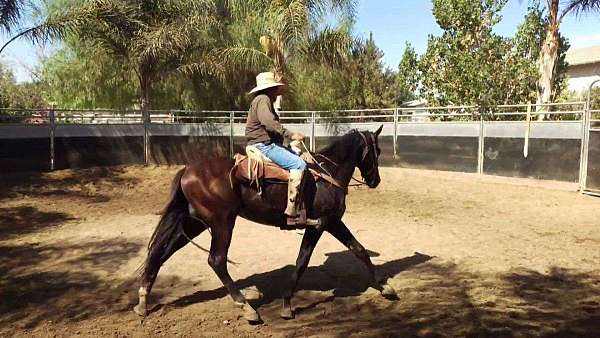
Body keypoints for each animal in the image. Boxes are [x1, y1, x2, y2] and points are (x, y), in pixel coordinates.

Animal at [135, 125, 398, 324]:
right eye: (377, 151)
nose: (375, 180)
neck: (327, 173)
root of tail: (187, 170)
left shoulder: (331, 223)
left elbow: (358, 250)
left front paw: (386, 288)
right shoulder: (322, 224)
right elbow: (303, 261)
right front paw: (287, 304)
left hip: (194, 222)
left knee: (161, 252)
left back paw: (142, 301)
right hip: (222, 223)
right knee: (216, 260)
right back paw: (247, 308)